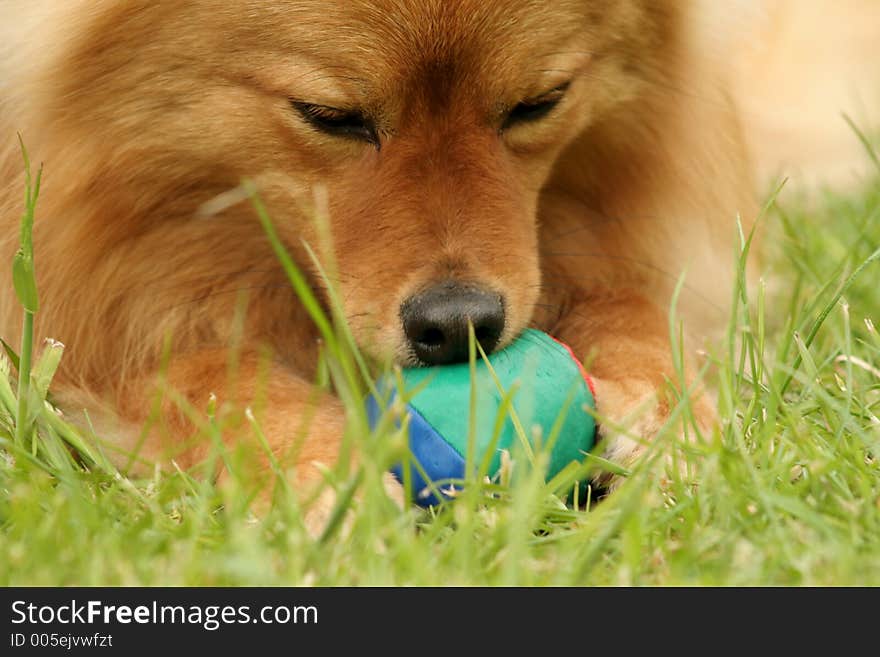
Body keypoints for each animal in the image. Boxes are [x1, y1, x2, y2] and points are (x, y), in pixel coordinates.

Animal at [0, 0, 876, 524]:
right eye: (331, 116)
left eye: (538, 104)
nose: (461, 326)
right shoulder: (87, 309)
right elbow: (201, 374)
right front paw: (322, 468)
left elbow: (635, 302)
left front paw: (667, 411)